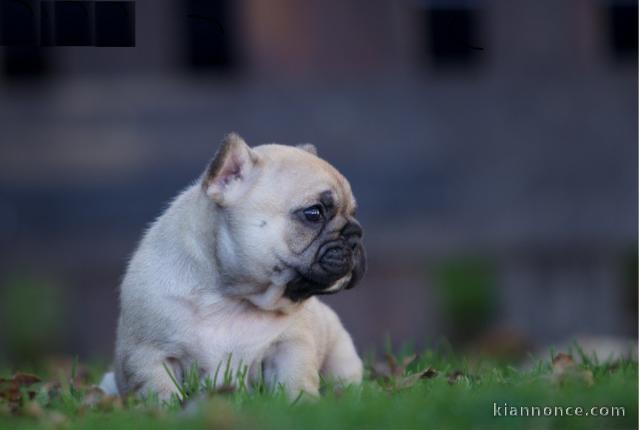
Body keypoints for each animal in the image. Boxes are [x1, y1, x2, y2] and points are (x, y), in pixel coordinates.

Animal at [108, 134, 368, 400]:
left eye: (354, 213)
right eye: (313, 213)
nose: (356, 234)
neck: (232, 298)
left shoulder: (290, 347)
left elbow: (295, 381)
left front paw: (304, 403)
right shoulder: (149, 355)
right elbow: (161, 391)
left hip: (341, 355)